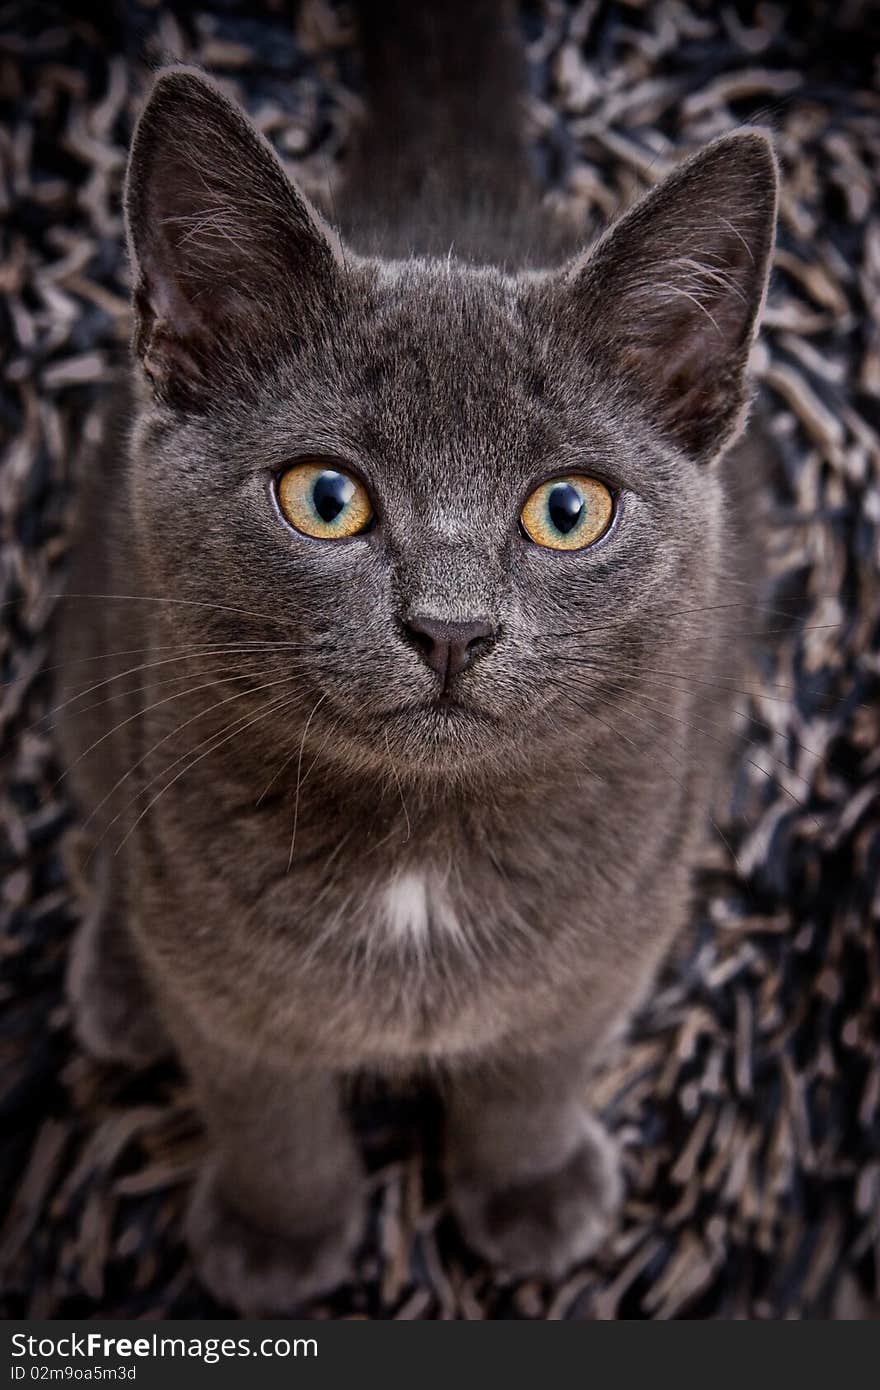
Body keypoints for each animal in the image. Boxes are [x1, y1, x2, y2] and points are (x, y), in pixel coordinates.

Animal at [60, 0, 772, 1306]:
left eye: (566, 510)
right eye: (326, 497)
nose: (451, 625)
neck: (420, 858)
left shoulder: (621, 929)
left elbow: (538, 1068)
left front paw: (532, 1188)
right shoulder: (227, 986)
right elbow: (262, 1100)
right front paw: (279, 1235)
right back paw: (123, 979)